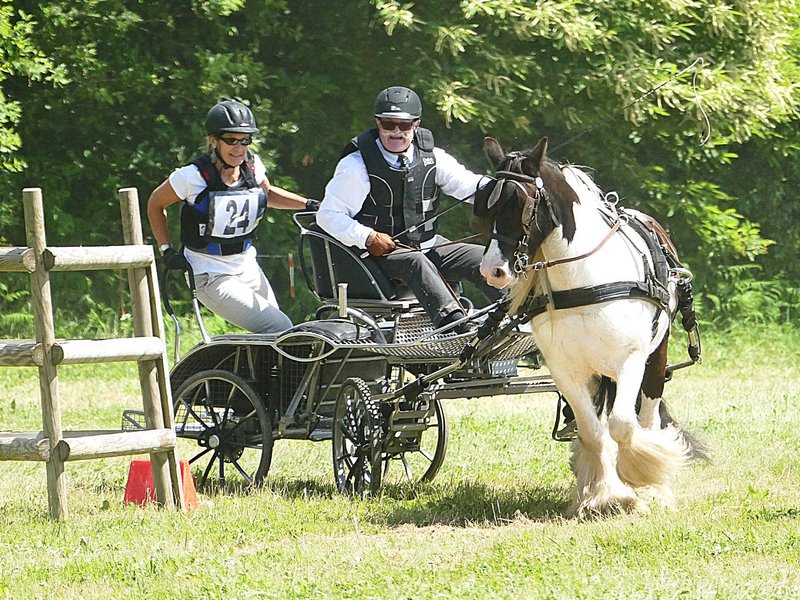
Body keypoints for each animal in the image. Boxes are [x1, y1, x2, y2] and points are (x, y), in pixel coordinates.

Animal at [475, 136, 704, 518]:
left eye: (522, 203)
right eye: (485, 205)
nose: (493, 270)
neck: (583, 280)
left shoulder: (630, 360)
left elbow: (623, 425)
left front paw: (638, 483)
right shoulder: (566, 371)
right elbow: (593, 433)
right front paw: (604, 495)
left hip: (654, 360)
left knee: (646, 418)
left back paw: (655, 488)